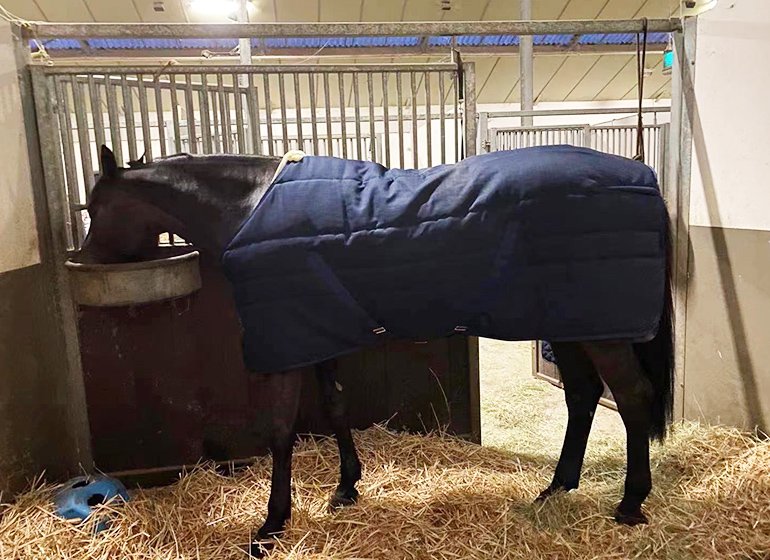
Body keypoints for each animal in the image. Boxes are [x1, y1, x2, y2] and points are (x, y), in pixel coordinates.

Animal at [76, 145, 673, 556]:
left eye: (93, 207)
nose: (84, 262)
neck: (248, 209)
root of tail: (643, 177)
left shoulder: (285, 346)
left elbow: (279, 431)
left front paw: (271, 526)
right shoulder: (316, 334)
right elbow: (336, 405)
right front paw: (345, 488)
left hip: (601, 331)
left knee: (632, 397)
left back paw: (630, 504)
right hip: (570, 323)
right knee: (583, 396)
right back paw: (554, 490)